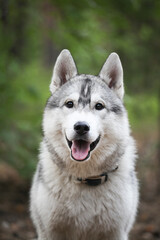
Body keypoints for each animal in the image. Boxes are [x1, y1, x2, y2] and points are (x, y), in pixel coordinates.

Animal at [30, 49, 139, 240]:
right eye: (69, 104)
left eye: (99, 106)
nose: (81, 126)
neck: (85, 177)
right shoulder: (50, 231)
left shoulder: (116, 232)